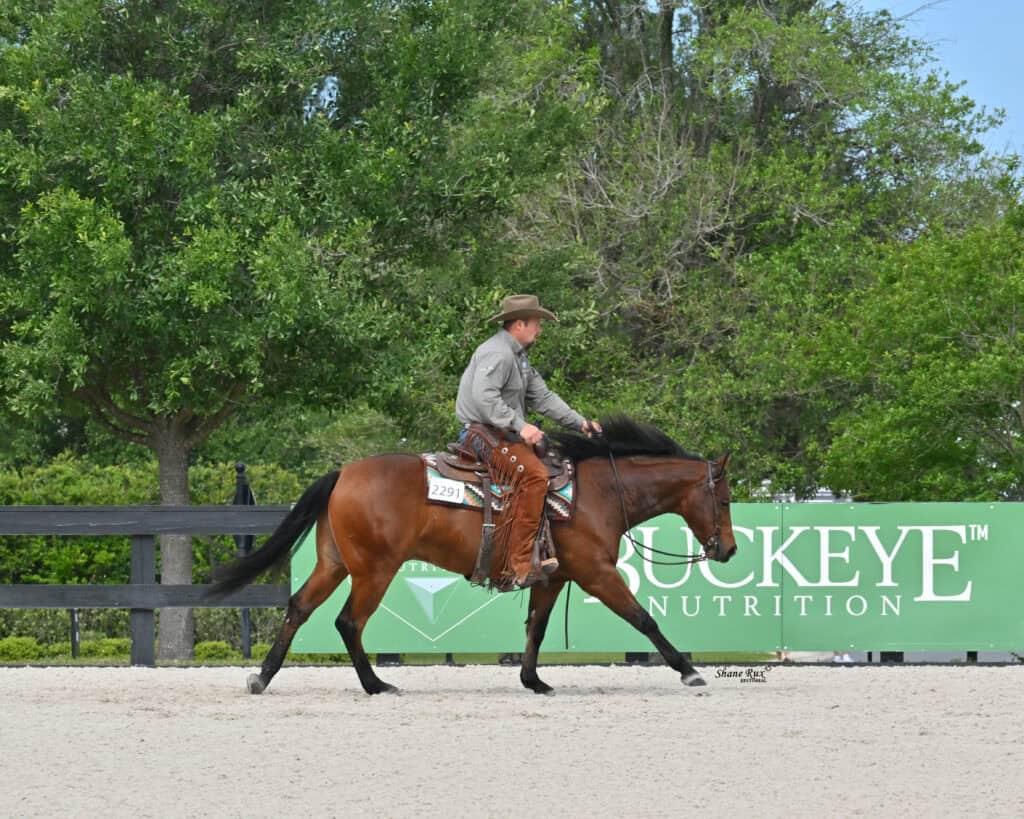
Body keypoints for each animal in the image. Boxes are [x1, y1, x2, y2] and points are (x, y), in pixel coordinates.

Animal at [209, 416, 737, 695]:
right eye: (726, 499)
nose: (729, 549)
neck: (597, 494)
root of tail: (344, 473)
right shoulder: (596, 573)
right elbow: (643, 618)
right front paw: (689, 670)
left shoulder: (553, 577)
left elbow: (536, 627)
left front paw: (533, 680)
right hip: (374, 570)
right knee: (348, 622)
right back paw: (376, 684)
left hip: (335, 562)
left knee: (299, 607)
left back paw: (263, 676)